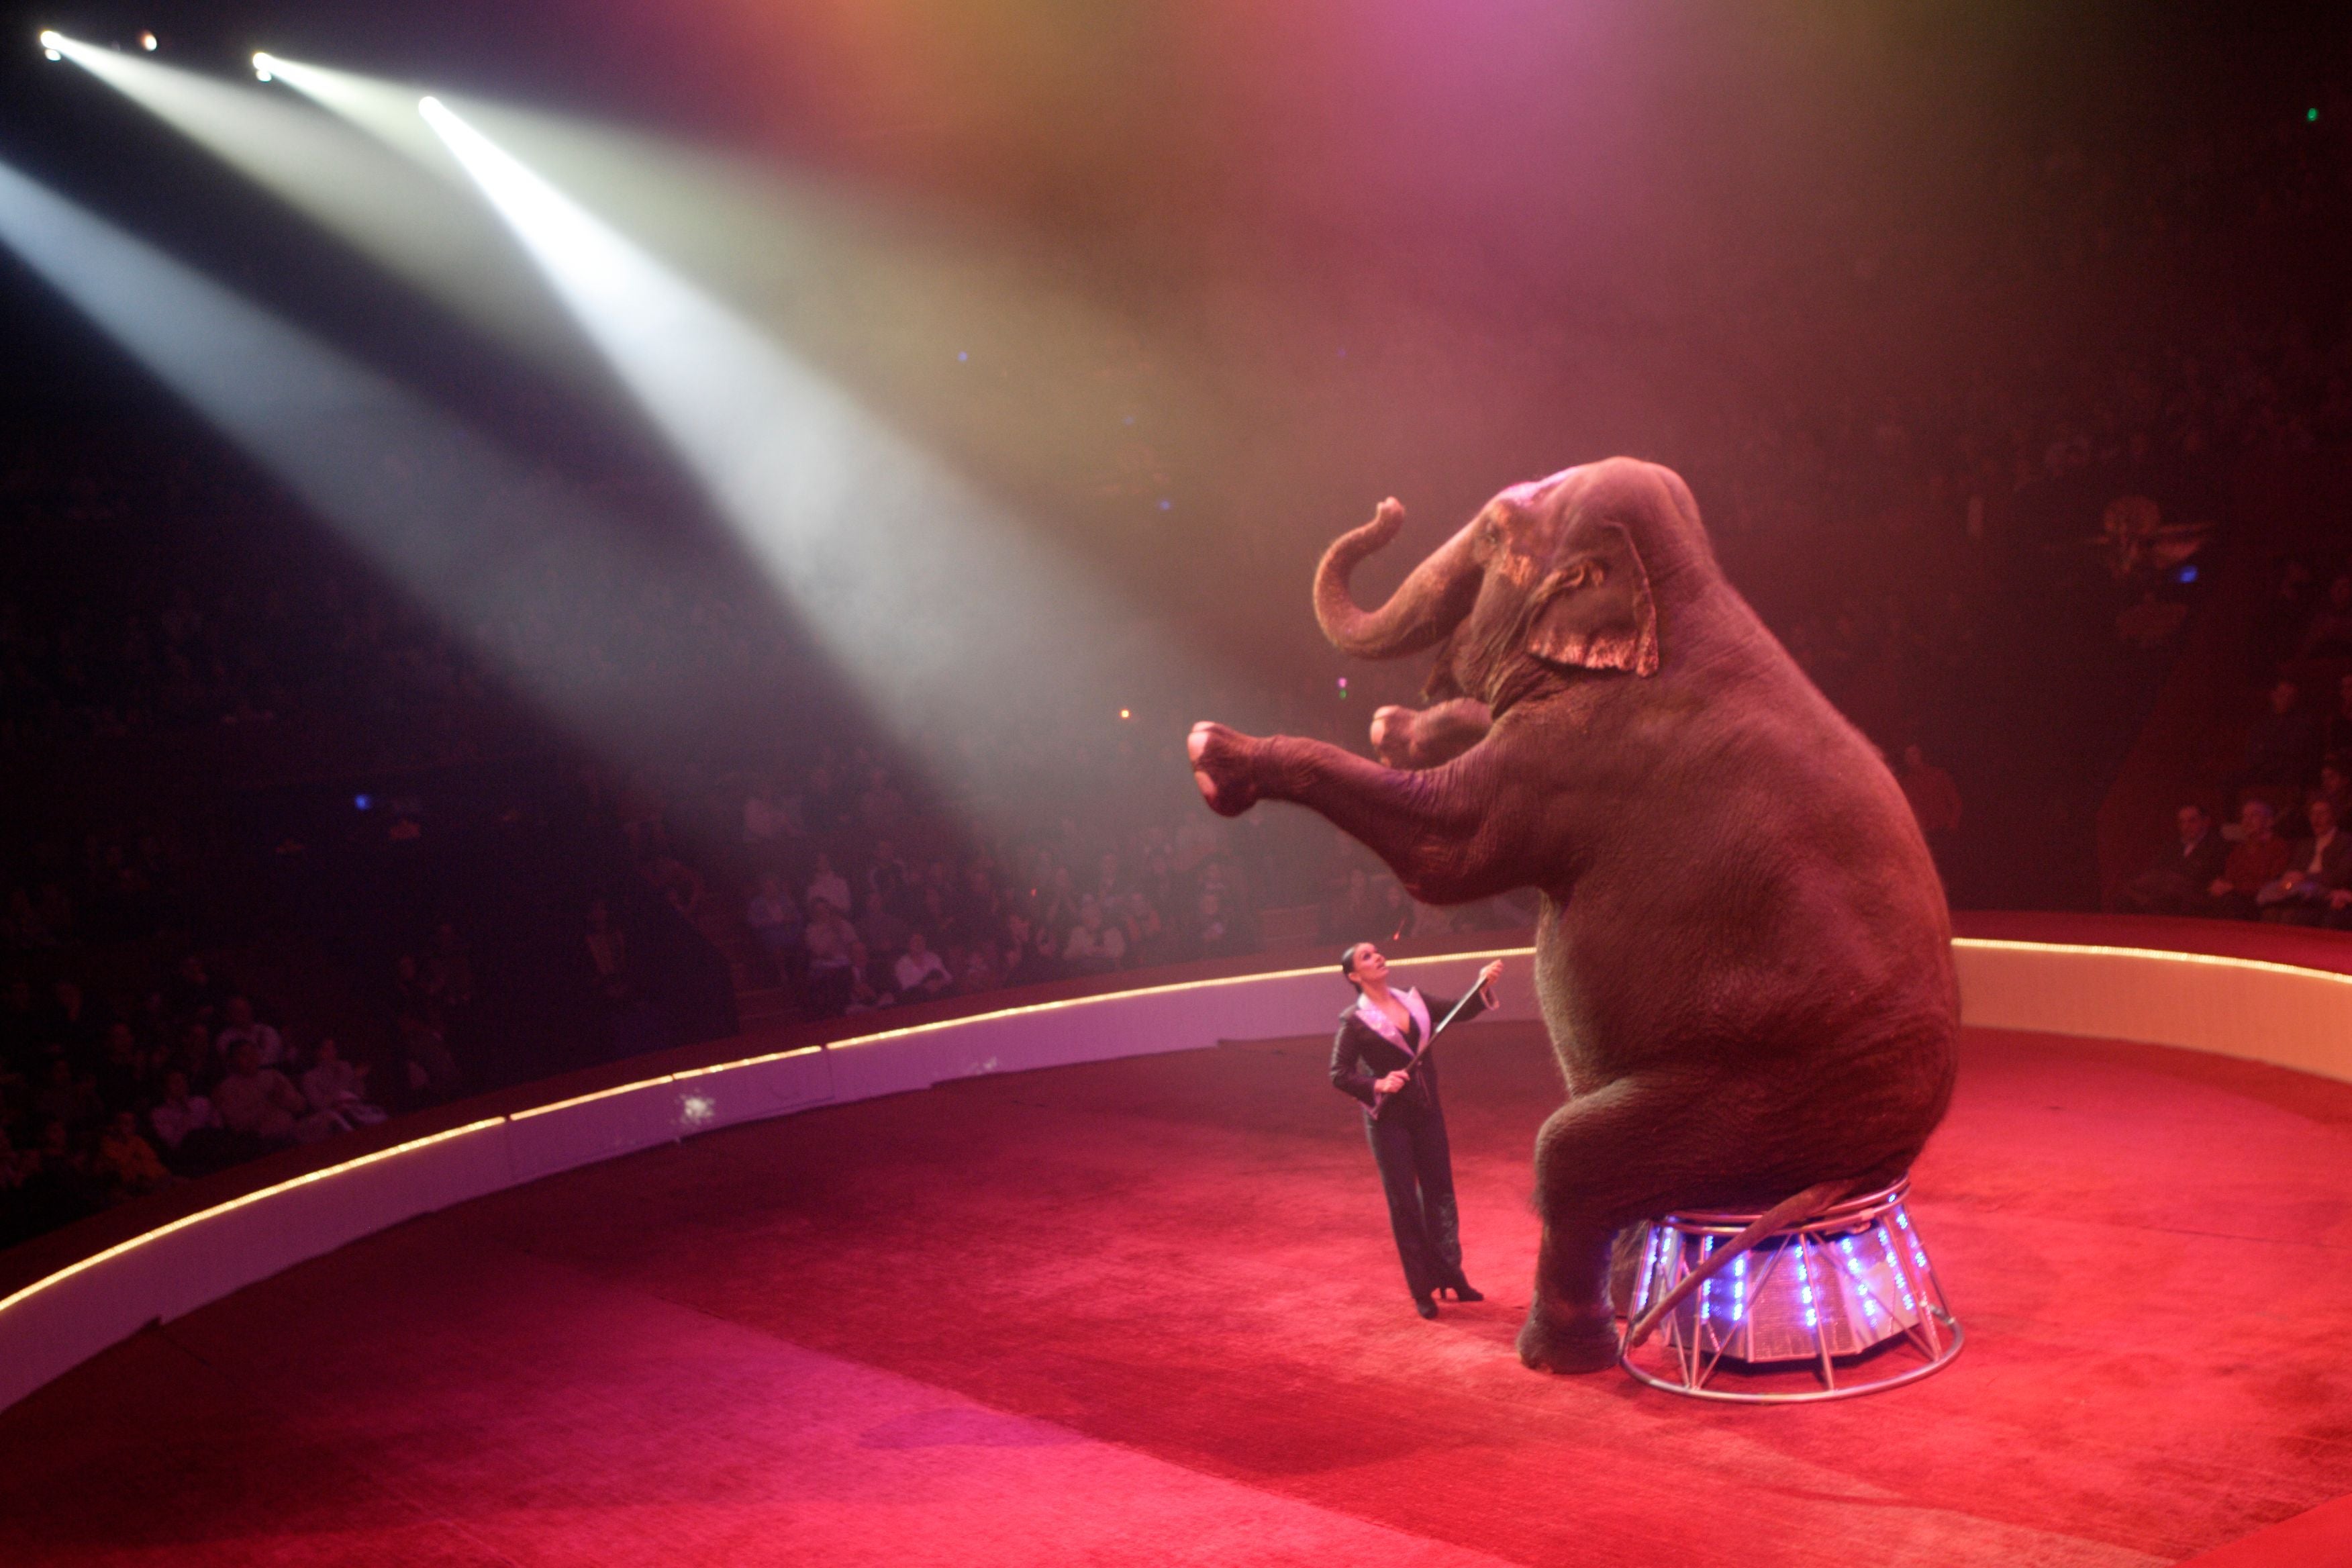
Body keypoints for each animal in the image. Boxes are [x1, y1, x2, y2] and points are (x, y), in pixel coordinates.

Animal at [1186, 457, 1958, 1374]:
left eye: (1492, 532)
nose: (1388, 504)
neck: (1686, 588)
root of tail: (1878, 1161)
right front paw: (1397, 727)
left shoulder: (1584, 755)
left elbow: (1447, 854)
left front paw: (1214, 755)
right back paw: (1626, 1304)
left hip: (1758, 1101)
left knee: (1571, 1157)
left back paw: (1560, 1353)